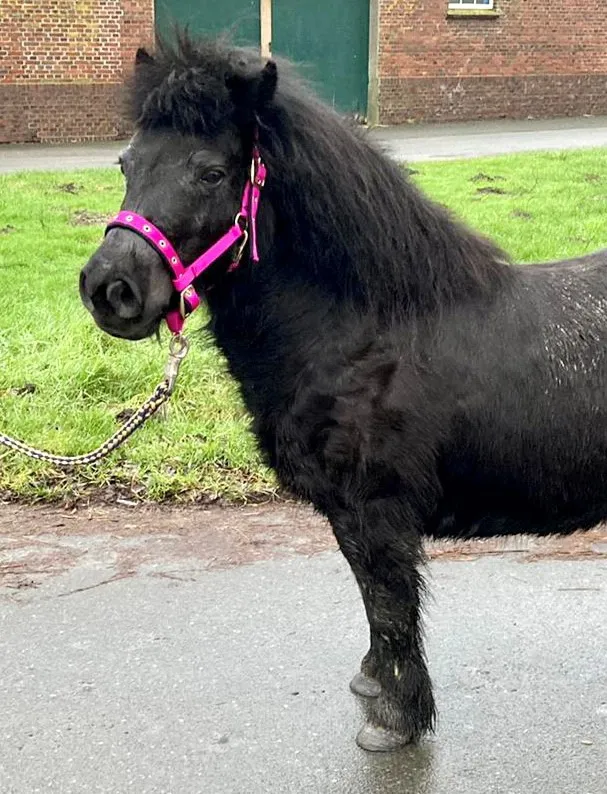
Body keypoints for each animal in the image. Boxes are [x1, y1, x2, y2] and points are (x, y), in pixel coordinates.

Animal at [80, 34, 607, 752]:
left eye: (211, 172)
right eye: (126, 163)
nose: (111, 289)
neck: (366, 331)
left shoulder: (375, 513)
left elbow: (390, 608)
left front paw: (396, 719)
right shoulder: (348, 517)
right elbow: (371, 604)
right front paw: (374, 684)